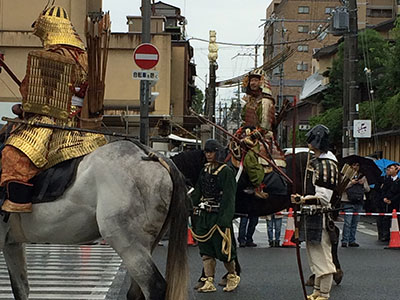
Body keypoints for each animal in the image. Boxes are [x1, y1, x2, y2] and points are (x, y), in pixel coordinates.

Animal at [0, 141, 188, 300]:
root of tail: (150, 154)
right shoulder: (12, 244)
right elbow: (21, 289)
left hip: (128, 243)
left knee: (154, 287)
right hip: (147, 244)